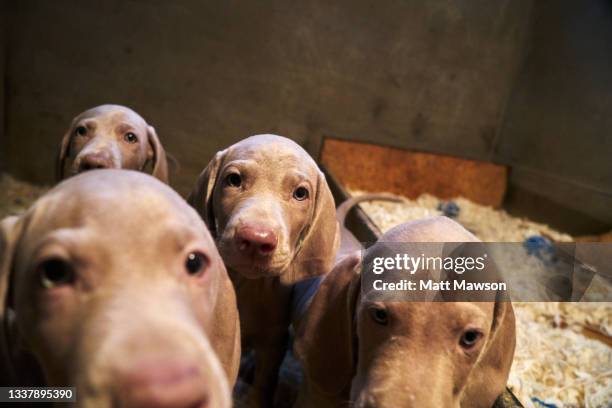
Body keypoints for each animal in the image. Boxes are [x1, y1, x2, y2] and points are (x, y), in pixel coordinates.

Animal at [188, 135, 340, 406]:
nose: (256, 239)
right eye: (234, 180)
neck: (247, 286)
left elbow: (264, 383)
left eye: (301, 193)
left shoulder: (274, 342)